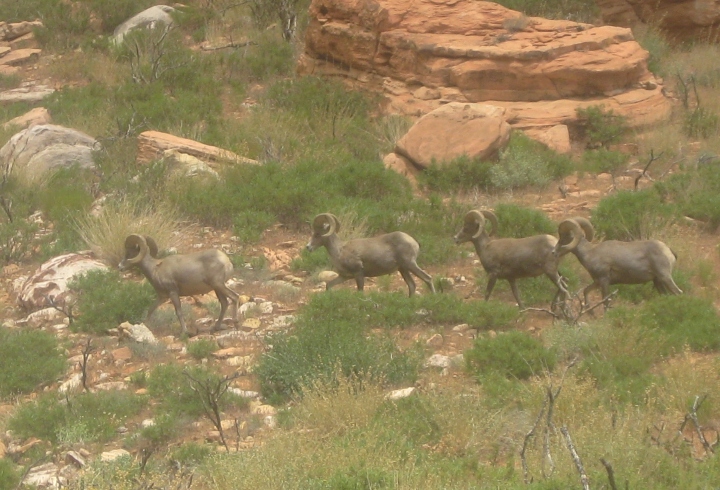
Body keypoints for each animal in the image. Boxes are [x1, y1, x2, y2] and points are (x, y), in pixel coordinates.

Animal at [305, 213, 436, 296]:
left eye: (317, 234)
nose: (308, 247)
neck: (339, 250)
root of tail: (414, 242)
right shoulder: (345, 276)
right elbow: (328, 285)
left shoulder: (358, 273)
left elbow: (360, 292)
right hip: (403, 269)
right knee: (412, 285)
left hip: (410, 265)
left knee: (427, 278)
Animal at [553, 217, 682, 309]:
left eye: (563, 237)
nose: (553, 252)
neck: (590, 253)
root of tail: (668, 250)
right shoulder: (597, 282)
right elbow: (586, 291)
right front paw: (591, 313)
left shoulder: (604, 281)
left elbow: (605, 303)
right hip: (657, 281)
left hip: (665, 277)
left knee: (678, 293)